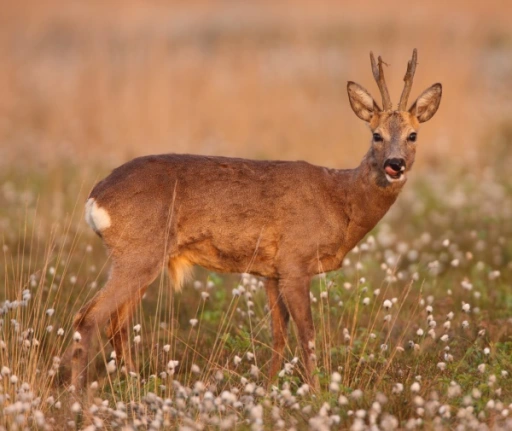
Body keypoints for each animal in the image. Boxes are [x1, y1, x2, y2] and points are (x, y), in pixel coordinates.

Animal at [70, 49, 442, 392]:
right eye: (376, 134)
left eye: (413, 135)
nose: (395, 164)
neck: (340, 201)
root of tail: (96, 197)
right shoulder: (295, 262)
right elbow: (307, 333)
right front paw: (316, 393)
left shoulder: (270, 272)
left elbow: (279, 334)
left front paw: (269, 388)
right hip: (138, 254)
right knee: (88, 318)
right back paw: (82, 400)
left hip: (142, 258)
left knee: (116, 323)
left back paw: (136, 385)